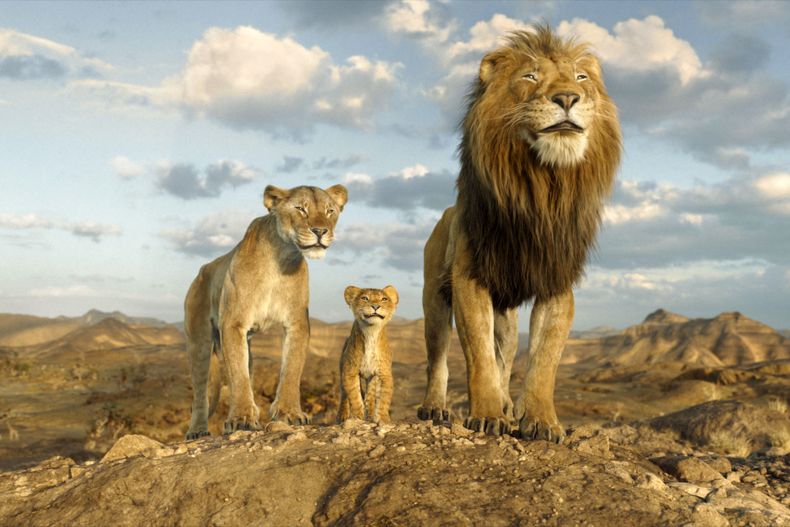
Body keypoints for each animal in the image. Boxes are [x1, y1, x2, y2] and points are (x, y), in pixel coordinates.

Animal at [184, 184, 348, 439]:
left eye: (330, 211)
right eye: (301, 209)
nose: (320, 231)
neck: (281, 258)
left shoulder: (296, 322)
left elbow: (291, 368)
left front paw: (290, 413)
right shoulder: (233, 323)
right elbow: (238, 376)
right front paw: (241, 418)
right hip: (199, 341)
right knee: (201, 391)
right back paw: (197, 431)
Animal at [337, 285, 398, 424]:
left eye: (384, 299)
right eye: (365, 298)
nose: (375, 306)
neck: (371, 332)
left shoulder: (384, 373)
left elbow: (383, 399)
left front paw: (382, 419)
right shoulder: (350, 371)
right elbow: (354, 396)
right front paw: (357, 417)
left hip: (372, 378)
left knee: (370, 397)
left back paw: (370, 415)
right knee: (344, 394)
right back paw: (342, 415)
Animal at [417, 25, 621, 442]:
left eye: (581, 78)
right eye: (530, 77)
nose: (567, 98)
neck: (542, 188)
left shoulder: (556, 281)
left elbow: (543, 361)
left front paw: (541, 421)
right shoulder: (470, 278)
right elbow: (478, 357)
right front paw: (486, 415)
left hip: (506, 317)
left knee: (506, 357)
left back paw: (509, 406)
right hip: (434, 299)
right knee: (438, 357)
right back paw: (435, 407)